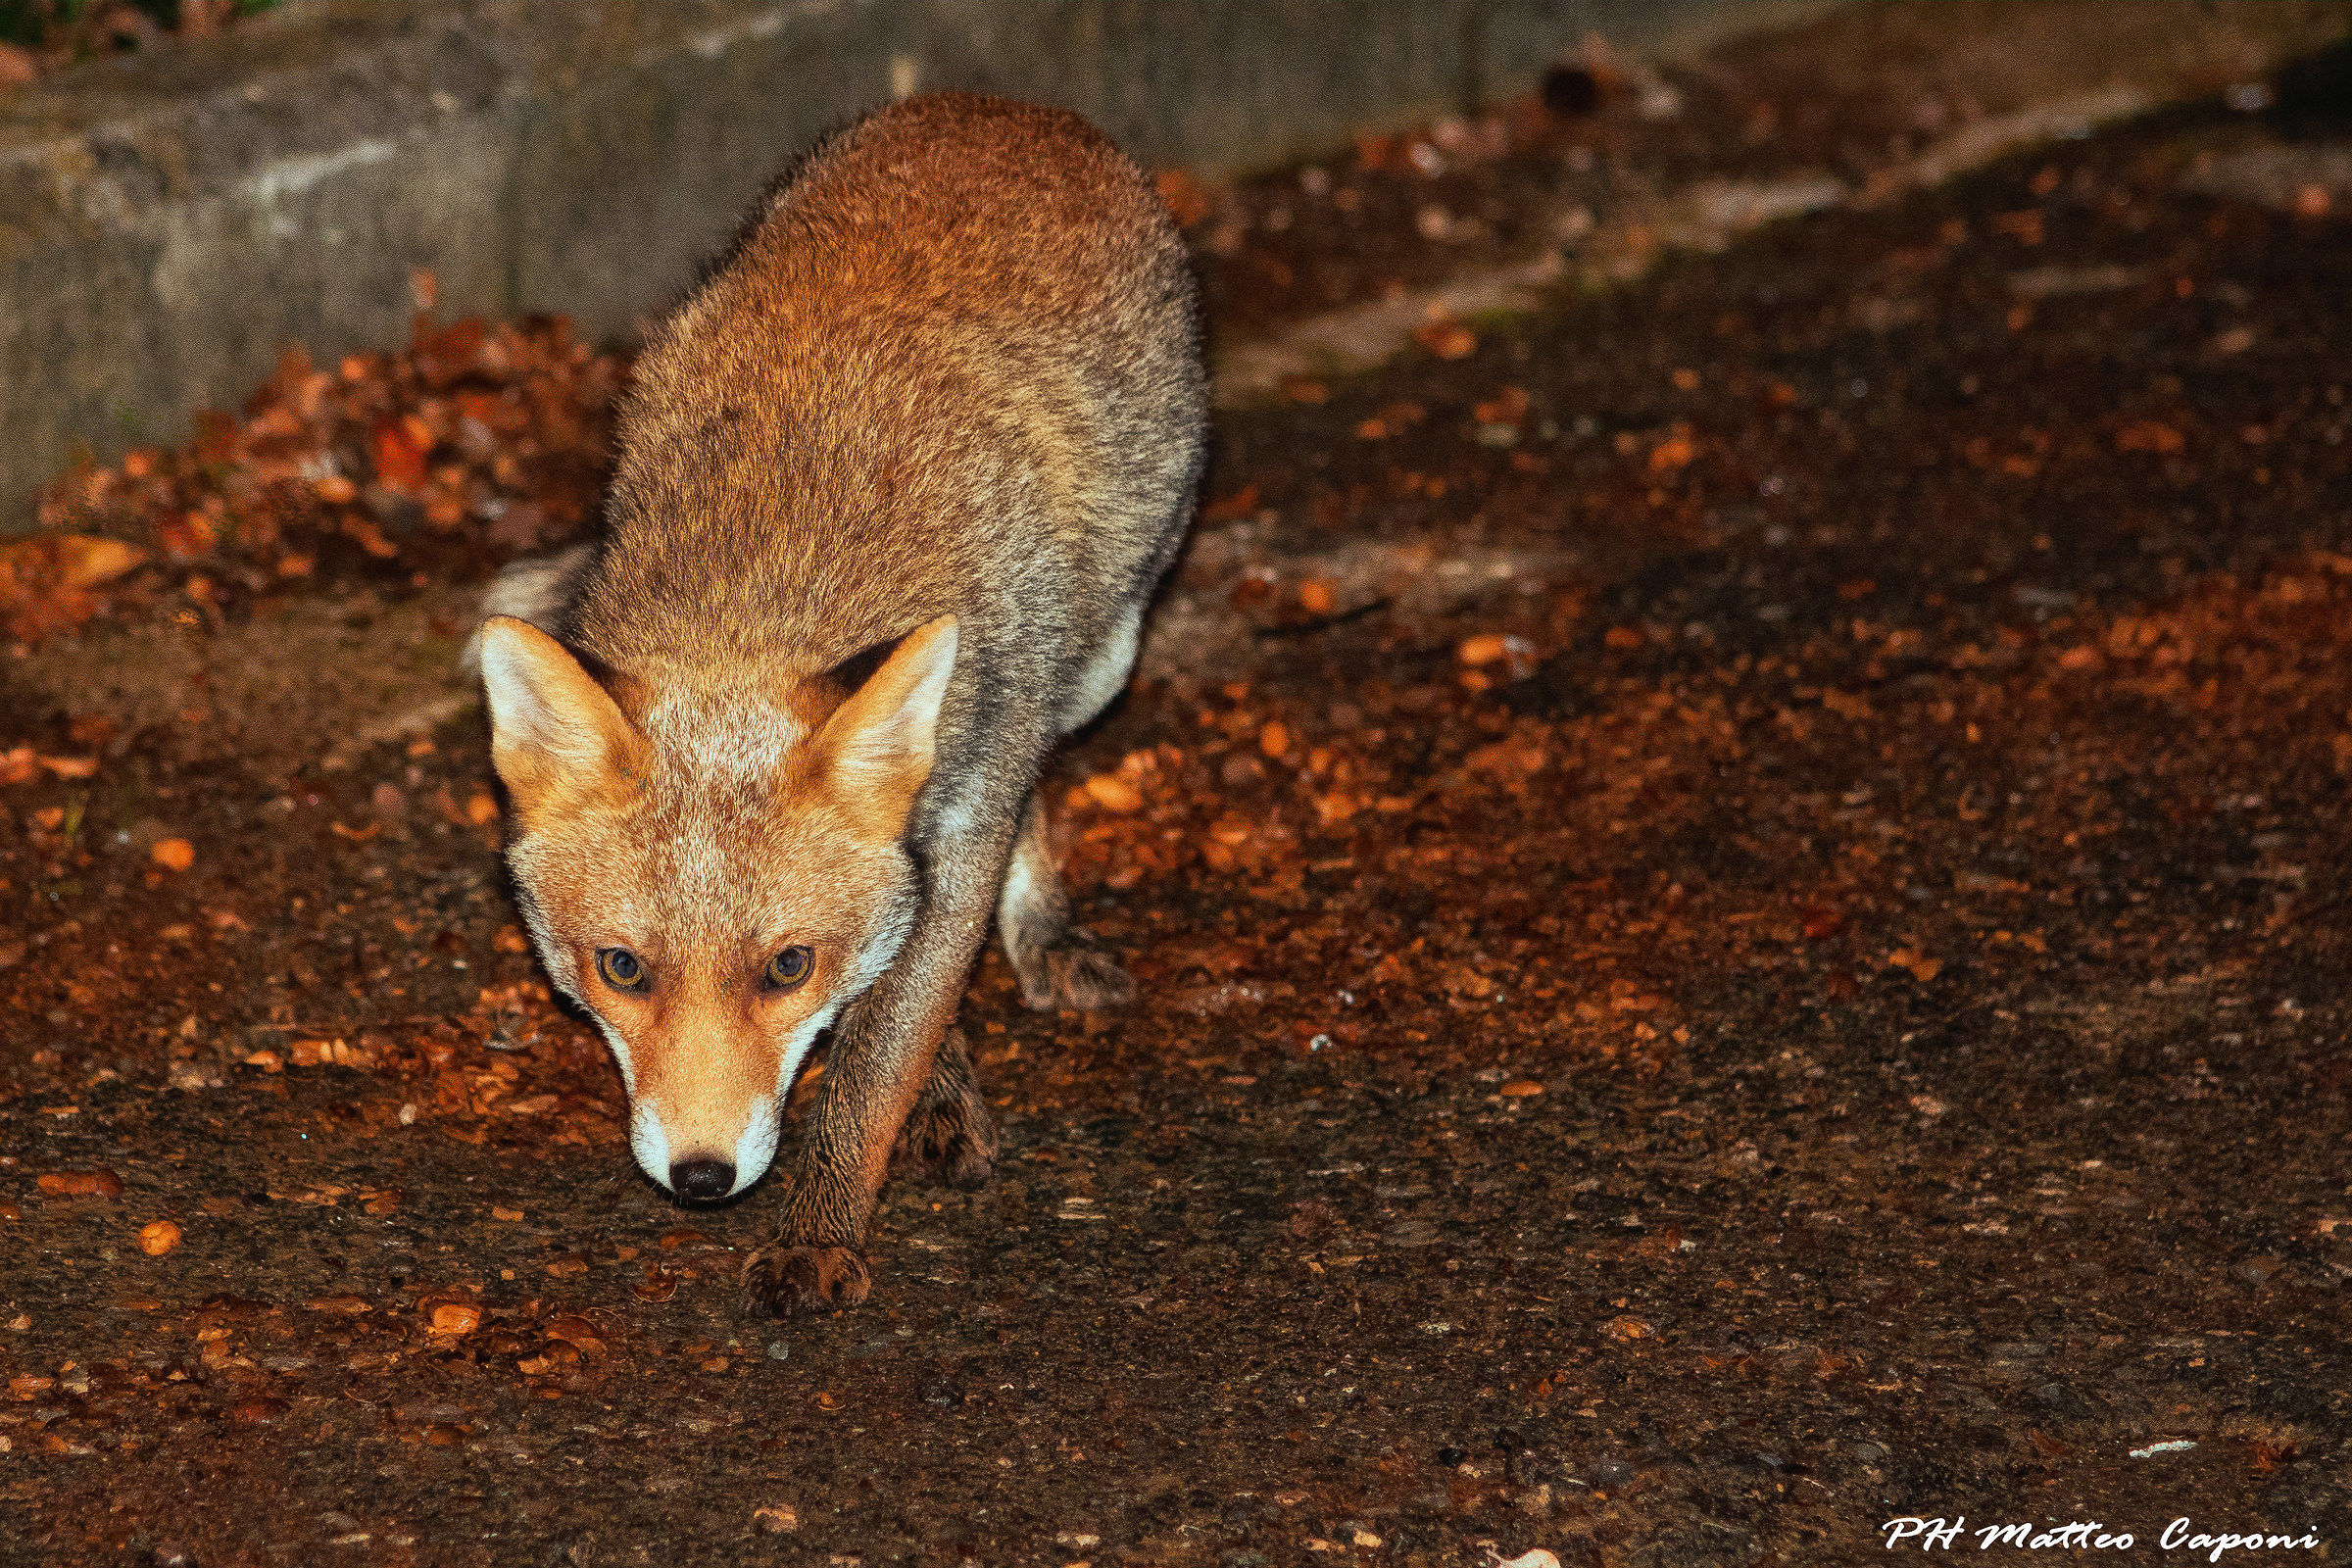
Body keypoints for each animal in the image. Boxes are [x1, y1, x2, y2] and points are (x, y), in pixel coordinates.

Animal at [469, 92, 1205, 1313]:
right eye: (621, 969)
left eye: (785, 967)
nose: (703, 1177)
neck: (767, 573)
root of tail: (994, 107)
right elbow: (897, 980)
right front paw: (935, 1093)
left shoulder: (968, 801)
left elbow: (879, 1048)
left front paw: (824, 1225)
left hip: (1100, 652)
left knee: (1040, 775)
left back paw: (1042, 929)